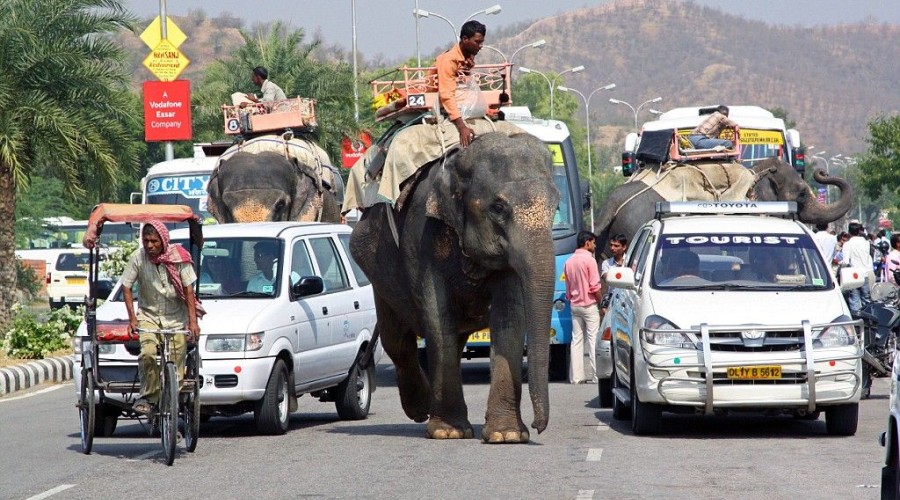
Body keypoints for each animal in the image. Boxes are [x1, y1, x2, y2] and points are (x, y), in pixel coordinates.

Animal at [350, 132, 556, 442]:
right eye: (498, 208)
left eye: (556, 206)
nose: (537, 427)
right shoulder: (423, 239)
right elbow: (438, 318)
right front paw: (449, 432)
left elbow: (509, 318)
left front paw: (506, 435)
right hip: (378, 272)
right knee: (397, 339)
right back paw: (420, 409)